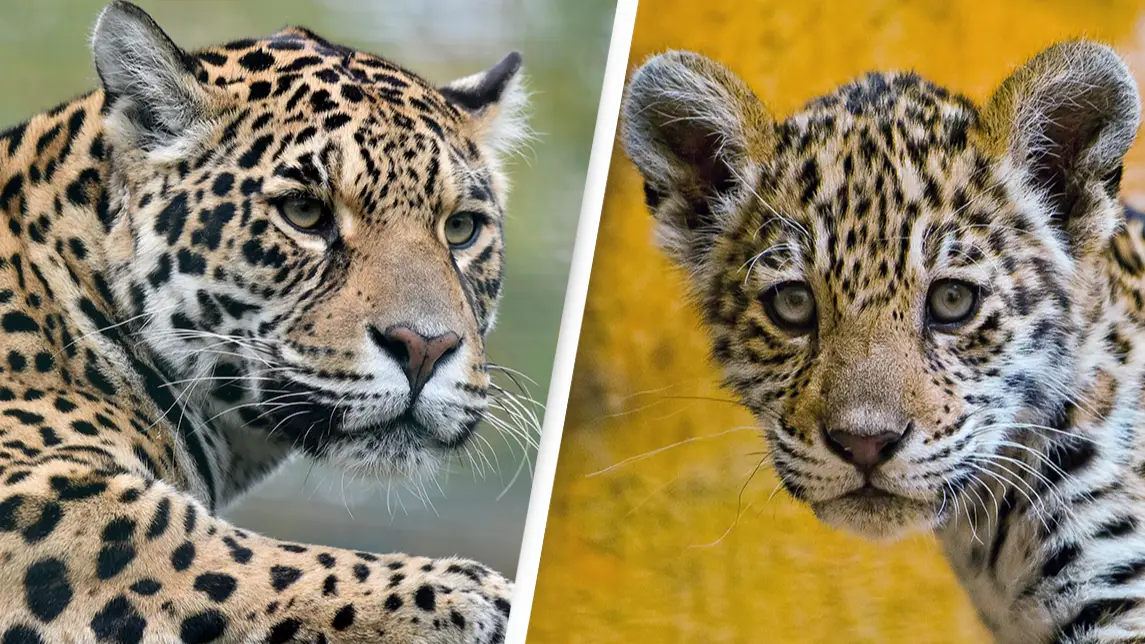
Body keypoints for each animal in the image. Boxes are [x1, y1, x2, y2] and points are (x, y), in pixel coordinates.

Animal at [0, 1, 532, 641]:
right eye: (303, 212)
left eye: (461, 228)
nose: (425, 348)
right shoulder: (41, 493)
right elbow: (234, 557)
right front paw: (479, 597)